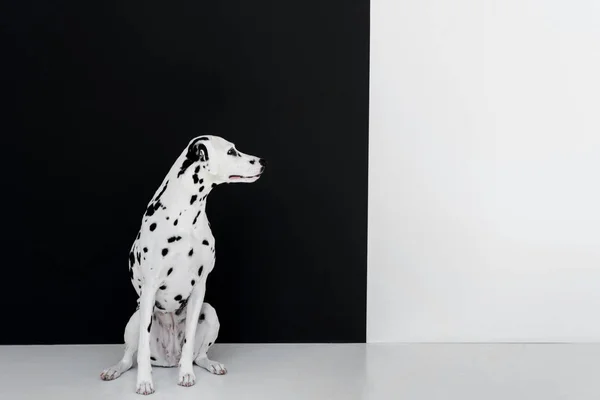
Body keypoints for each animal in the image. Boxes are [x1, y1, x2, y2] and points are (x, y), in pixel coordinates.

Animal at [100, 134, 264, 394]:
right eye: (231, 151)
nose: (262, 161)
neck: (185, 214)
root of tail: (168, 359)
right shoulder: (149, 289)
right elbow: (142, 350)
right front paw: (144, 382)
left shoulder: (199, 288)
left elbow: (189, 343)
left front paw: (186, 373)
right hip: (135, 319)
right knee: (129, 357)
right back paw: (115, 369)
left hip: (210, 312)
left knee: (199, 355)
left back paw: (209, 363)